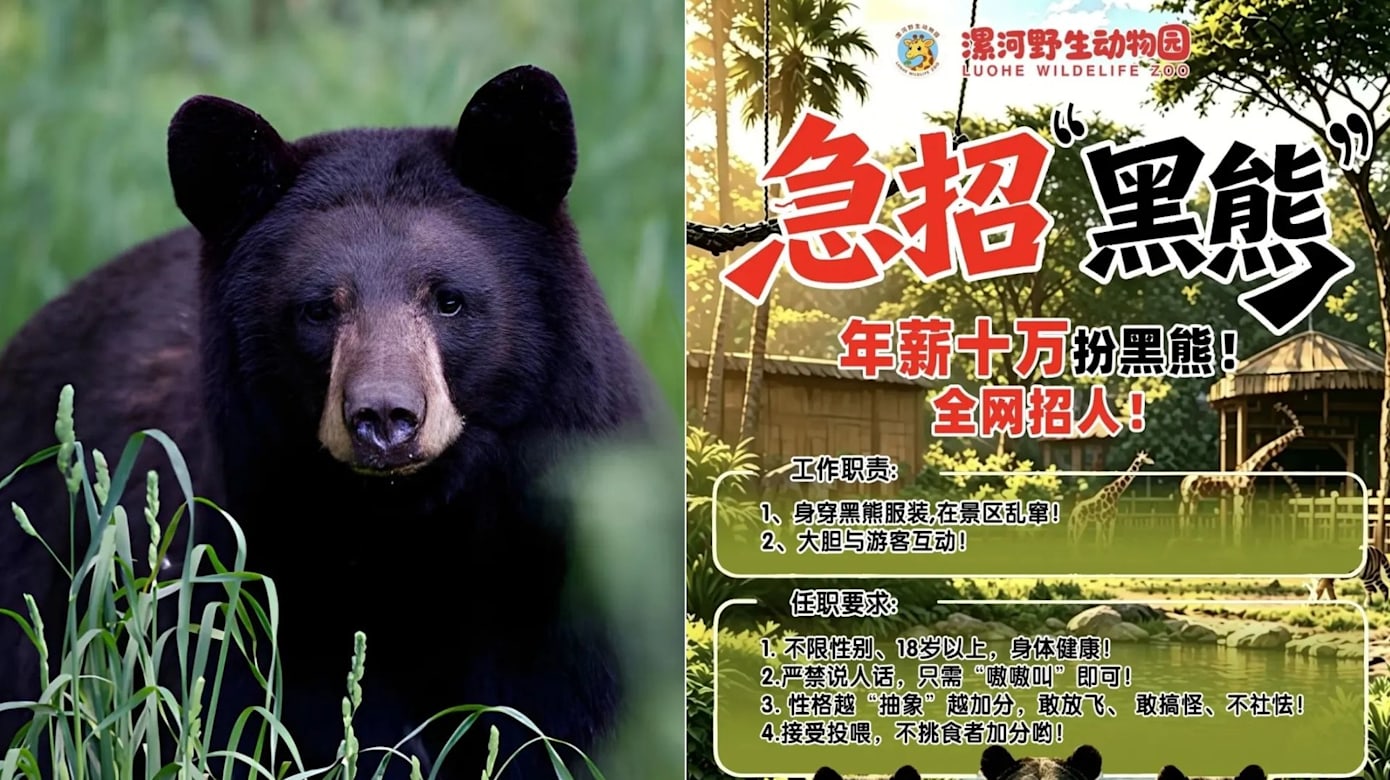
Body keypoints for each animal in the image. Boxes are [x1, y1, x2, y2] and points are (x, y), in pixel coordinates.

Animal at [0, 64, 660, 779]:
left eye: (449, 300)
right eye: (318, 308)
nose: (385, 416)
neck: (411, 533)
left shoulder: (566, 578)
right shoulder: (260, 577)